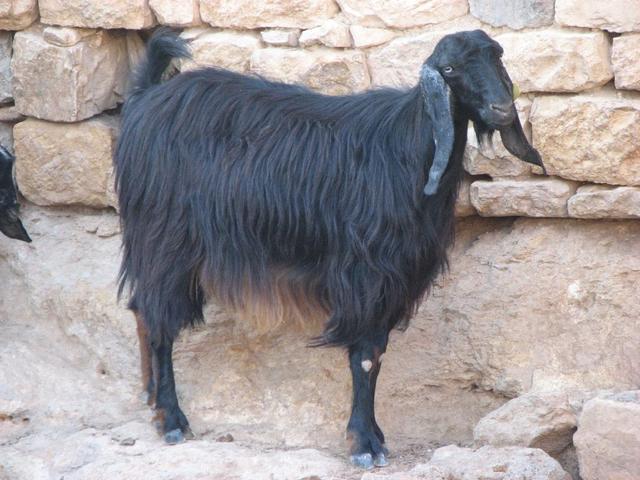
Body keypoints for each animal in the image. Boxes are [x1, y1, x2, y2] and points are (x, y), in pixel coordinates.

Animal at [114, 29, 545, 469]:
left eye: (497, 57)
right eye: (451, 69)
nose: (502, 109)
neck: (405, 150)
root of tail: (145, 97)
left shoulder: (395, 280)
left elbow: (377, 355)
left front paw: (375, 436)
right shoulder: (367, 275)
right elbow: (366, 357)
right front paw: (364, 445)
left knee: (141, 308)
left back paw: (150, 397)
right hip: (165, 238)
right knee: (159, 319)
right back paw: (170, 418)